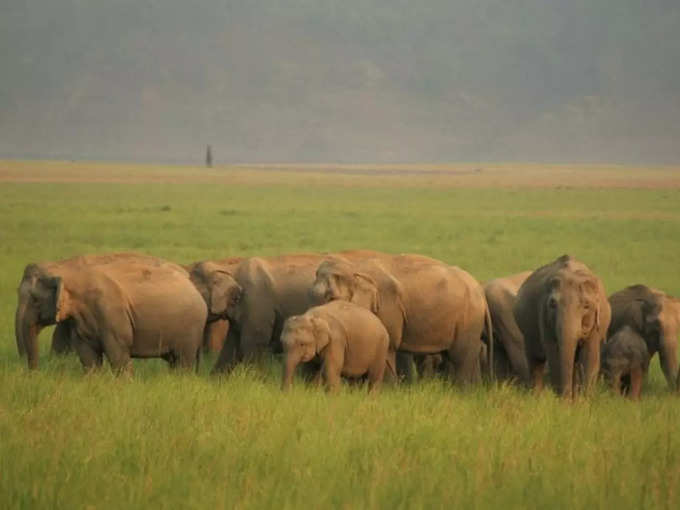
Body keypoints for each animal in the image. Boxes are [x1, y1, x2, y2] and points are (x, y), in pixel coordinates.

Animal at [15, 256, 206, 372]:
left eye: (35, 300)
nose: (33, 373)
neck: (68, 270)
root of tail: (192, 285)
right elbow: (88, 356)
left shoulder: (112, 314)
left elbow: (118, 354)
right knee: (174, 360)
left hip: (191, 328)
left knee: (183, 361)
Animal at [310, 253, 492, 384]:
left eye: (332, 298)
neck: (355, 267)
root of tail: (480, 291)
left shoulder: (388, 306)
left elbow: (389, 344)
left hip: (469, 319)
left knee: (461, 357)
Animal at [516, 255, 612, 398]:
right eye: (552, 304)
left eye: (586, 306)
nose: (565, 397)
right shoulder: (544, 315)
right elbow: (554, 354)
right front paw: (562, 401)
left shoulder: (596, 324)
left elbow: (590, 356)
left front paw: (585, 400)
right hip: (527, 333)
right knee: (535, 360)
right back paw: (536, 397)